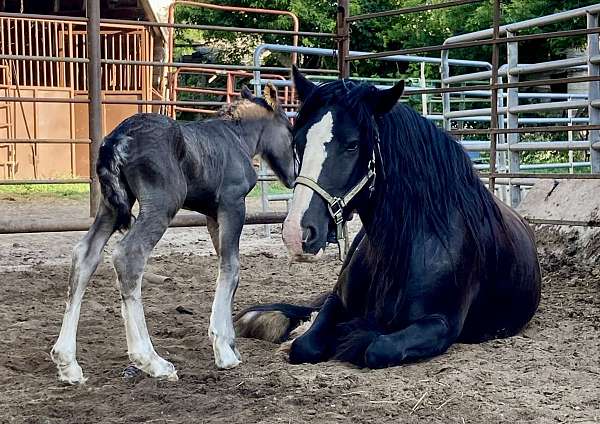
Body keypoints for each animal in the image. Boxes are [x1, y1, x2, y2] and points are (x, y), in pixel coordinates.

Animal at [51, 84, 296, 382]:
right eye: (290, 131)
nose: (292, 176)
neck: (237, 137)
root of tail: (117, 140)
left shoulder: (212, 214)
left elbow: (227, 268)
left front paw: (230, 345)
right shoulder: (233, 204)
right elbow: (232, 267)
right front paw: (224, 350)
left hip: (110, 206)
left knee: (85, 254)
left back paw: (67, 362)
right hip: (163, 203)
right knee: (129, 255)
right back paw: (151, 360)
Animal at [236, 68, 544, 370]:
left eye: (352, 145)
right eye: (299, 143)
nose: (296, 233)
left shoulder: (441, 324)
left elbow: (377, 347)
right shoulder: (338, 300)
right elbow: (307, 343)